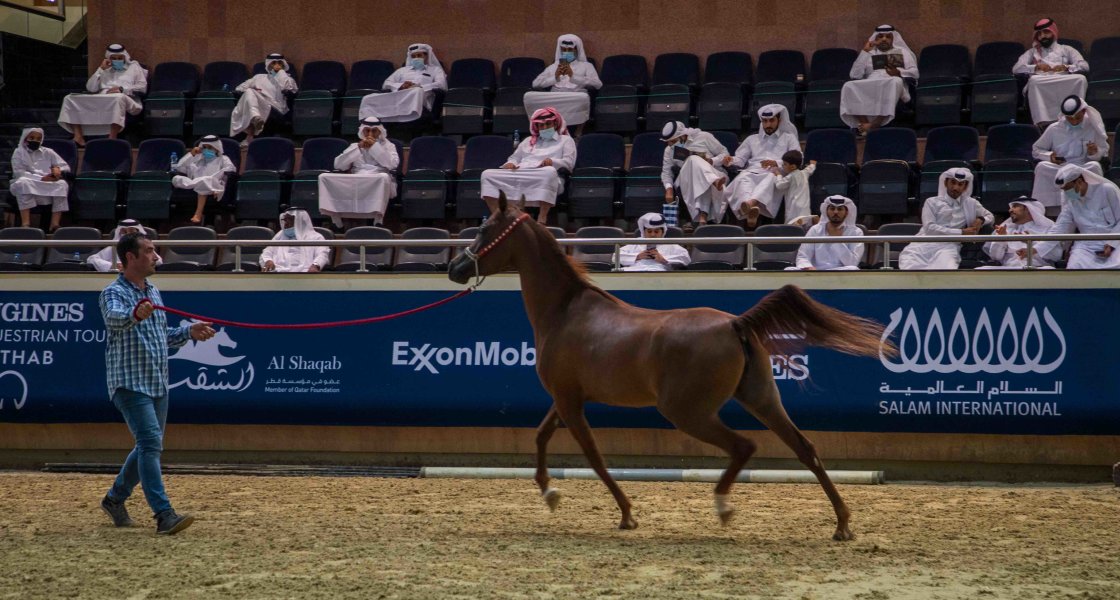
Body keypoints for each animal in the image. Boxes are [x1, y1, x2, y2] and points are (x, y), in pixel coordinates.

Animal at [450, 195, 896, 539]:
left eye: (485, 229)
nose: (456, 268)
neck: (566, 311)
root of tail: (735, 323)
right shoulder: (566, 397)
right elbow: (541, 436)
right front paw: (549, 492)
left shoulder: (569, 401)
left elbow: (592, 455)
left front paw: (626, 514)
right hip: (762, 399)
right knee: (805, 448)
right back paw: (842, 524)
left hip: (687, 412)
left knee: (744, 446)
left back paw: (723, 507)